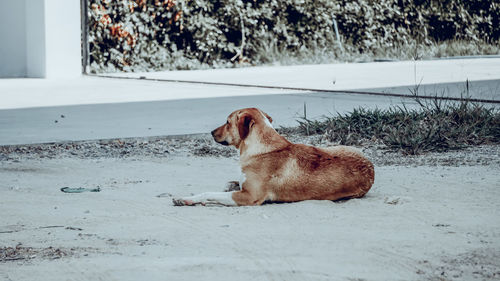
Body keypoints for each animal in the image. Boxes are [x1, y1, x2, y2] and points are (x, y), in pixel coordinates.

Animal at [174, 107, 374, 206]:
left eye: (227, 122)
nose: (211, 133)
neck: (261, 147)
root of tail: (371, 168)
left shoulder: (249, 197)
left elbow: (210, 194)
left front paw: (187, 199)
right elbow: (229, 184)